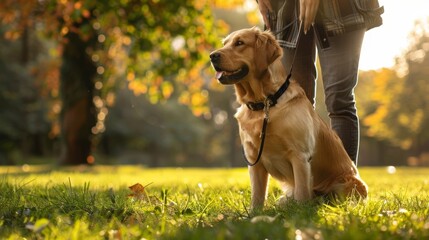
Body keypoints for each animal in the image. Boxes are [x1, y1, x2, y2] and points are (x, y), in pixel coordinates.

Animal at [209, 27, 366, 209]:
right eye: (225, 43)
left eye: (239, 43)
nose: (212, 56)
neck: (266, 103)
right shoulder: (254, 159)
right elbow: (257, 195)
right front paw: (254, 213)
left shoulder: (300, 155)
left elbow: (302, 194)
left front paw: (300, 213)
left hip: (348, 182)